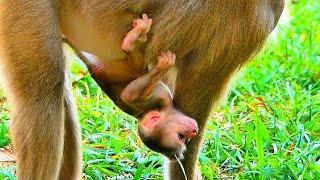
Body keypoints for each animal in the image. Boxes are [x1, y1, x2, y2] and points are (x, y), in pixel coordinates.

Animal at [66, 14, 199, 158]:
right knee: (132, 58)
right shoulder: (162, 96)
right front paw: (162, 66)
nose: (194, 132)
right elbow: (127, 96)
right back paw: (133, 39)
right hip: (121, 64)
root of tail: (95, 70)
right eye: (181, 136)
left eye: (186, 140)